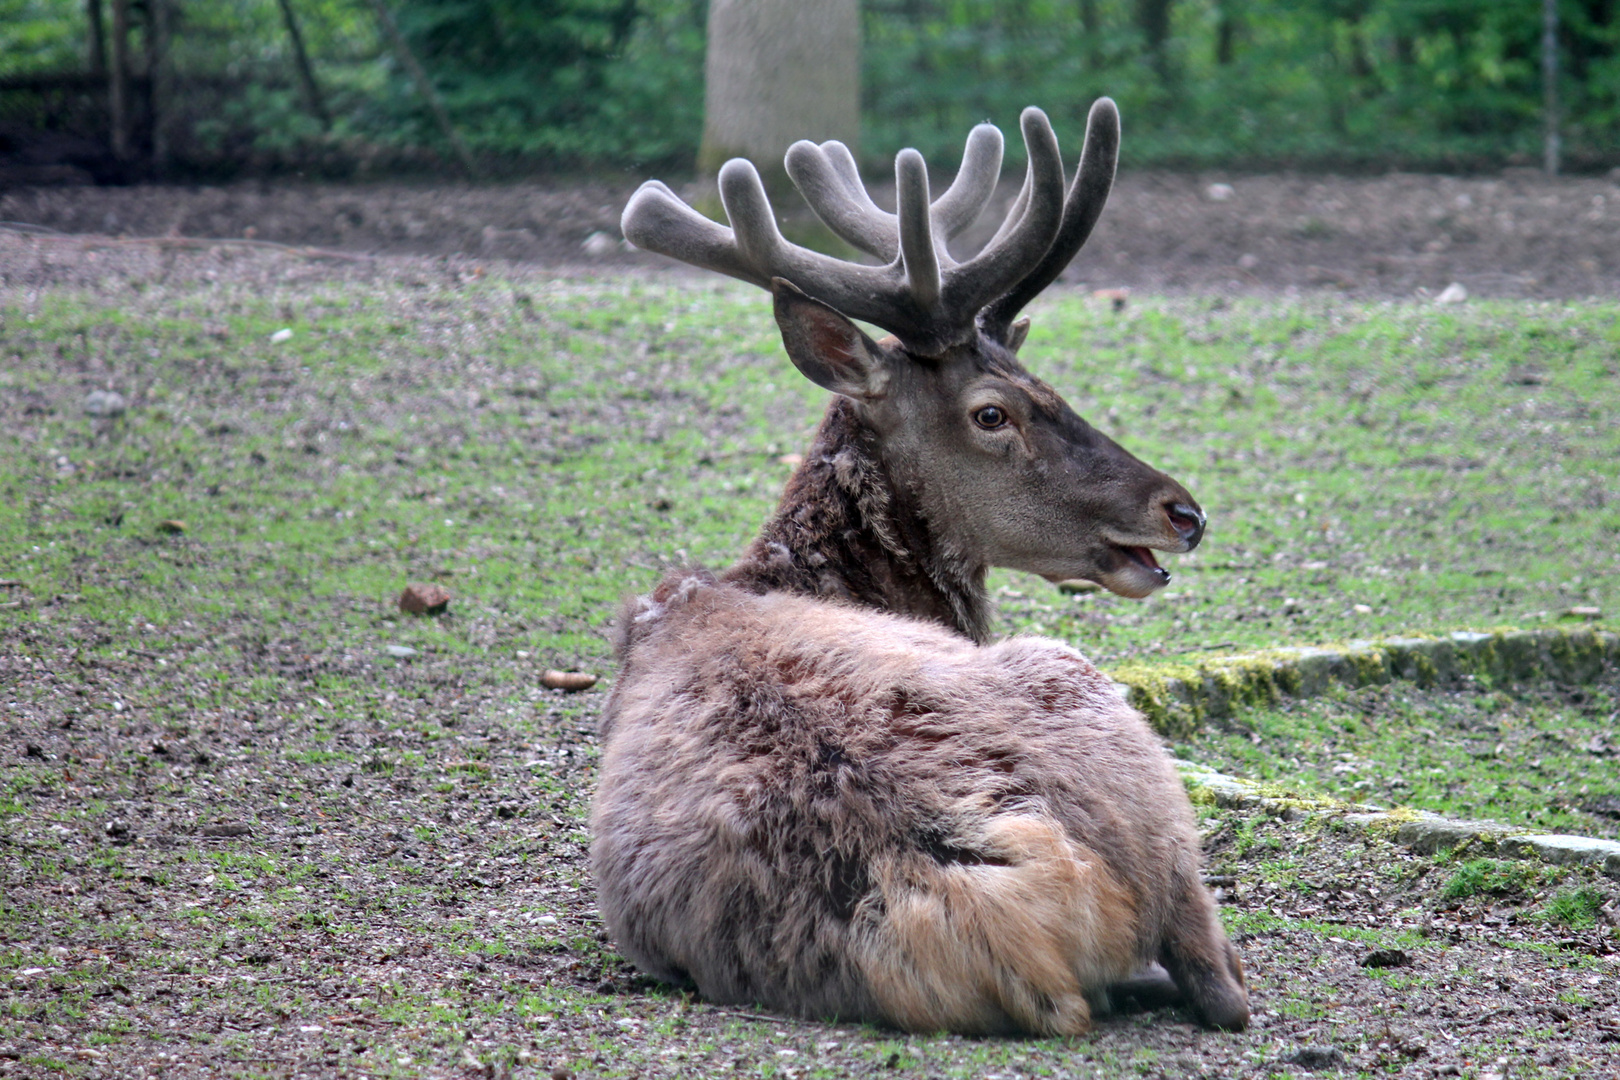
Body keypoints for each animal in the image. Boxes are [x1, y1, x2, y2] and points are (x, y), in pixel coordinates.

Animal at [596, 101, 1250, 1036]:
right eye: (993, 412)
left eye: (1041, 378)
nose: (1183, 512)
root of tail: (1053, 884)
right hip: (1091, 696)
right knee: (1222, 979)